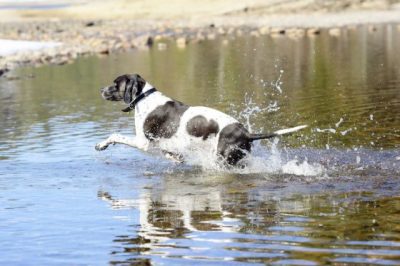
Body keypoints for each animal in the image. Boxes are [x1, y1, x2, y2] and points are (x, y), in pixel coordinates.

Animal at [95, 74, 308, 167]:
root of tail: (246, 132)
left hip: (223, 160)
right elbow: (170, 153)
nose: (101, 90)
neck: (145, 97)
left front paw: (101, 144)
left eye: (116, 84)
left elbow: (115, 135)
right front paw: (175, 158)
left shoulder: (142, 142)